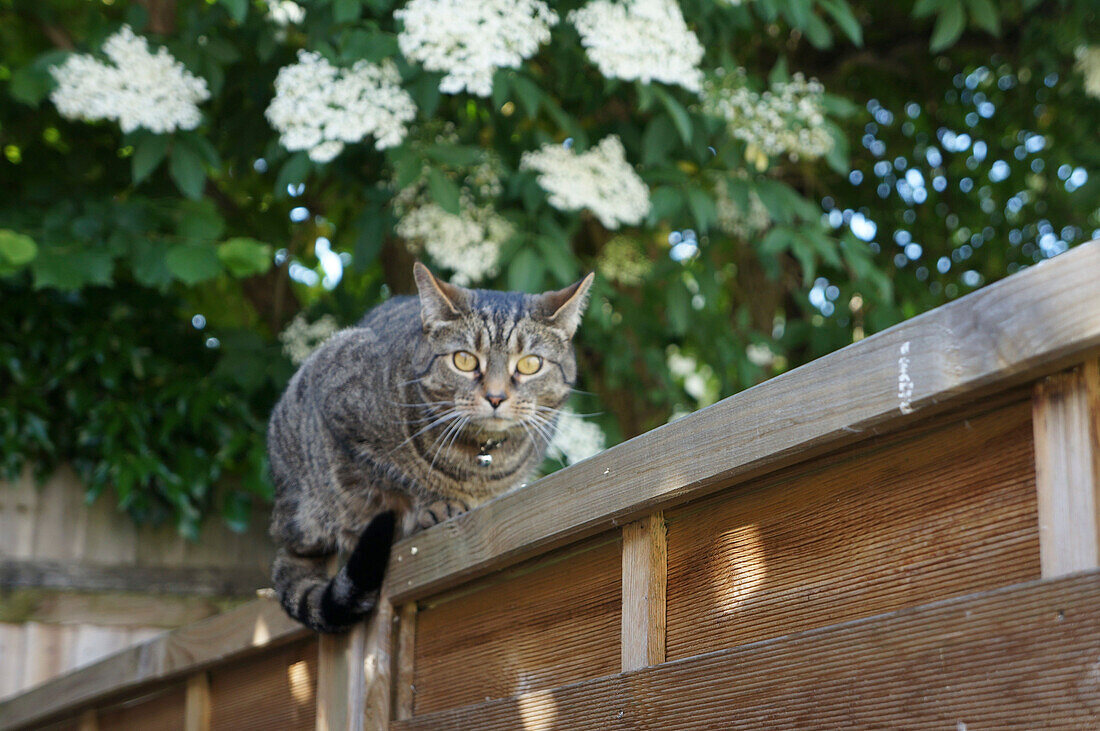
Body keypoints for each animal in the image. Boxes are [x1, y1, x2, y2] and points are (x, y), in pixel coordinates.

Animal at [266, 263, 594, 633]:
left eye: (529, 364)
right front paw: (437, 503)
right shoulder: (340, 412)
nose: (496, 397)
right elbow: (399, 476)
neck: (481, 458)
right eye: (464, 360)